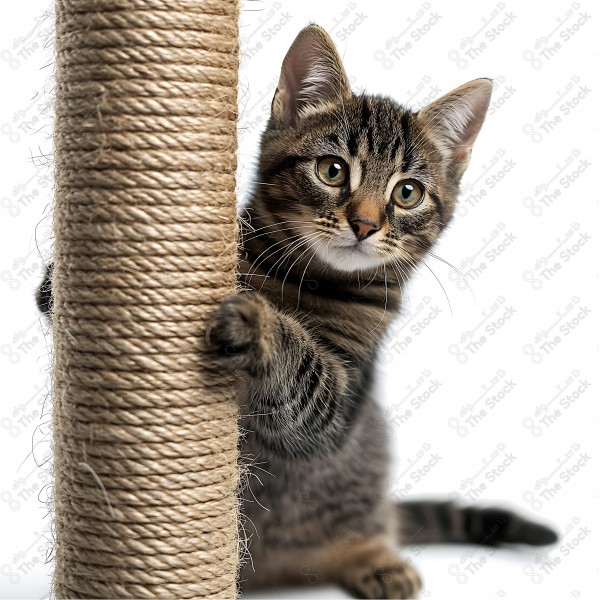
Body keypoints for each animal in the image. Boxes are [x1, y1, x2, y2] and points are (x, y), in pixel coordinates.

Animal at [38, 24, 556, 600]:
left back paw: (372, 556)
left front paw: (258, 322)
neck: (305, 279)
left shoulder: (340, 403)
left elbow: (304, 377)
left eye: (407, 193)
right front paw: (75, 270)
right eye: (332, 170)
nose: (365, 224)